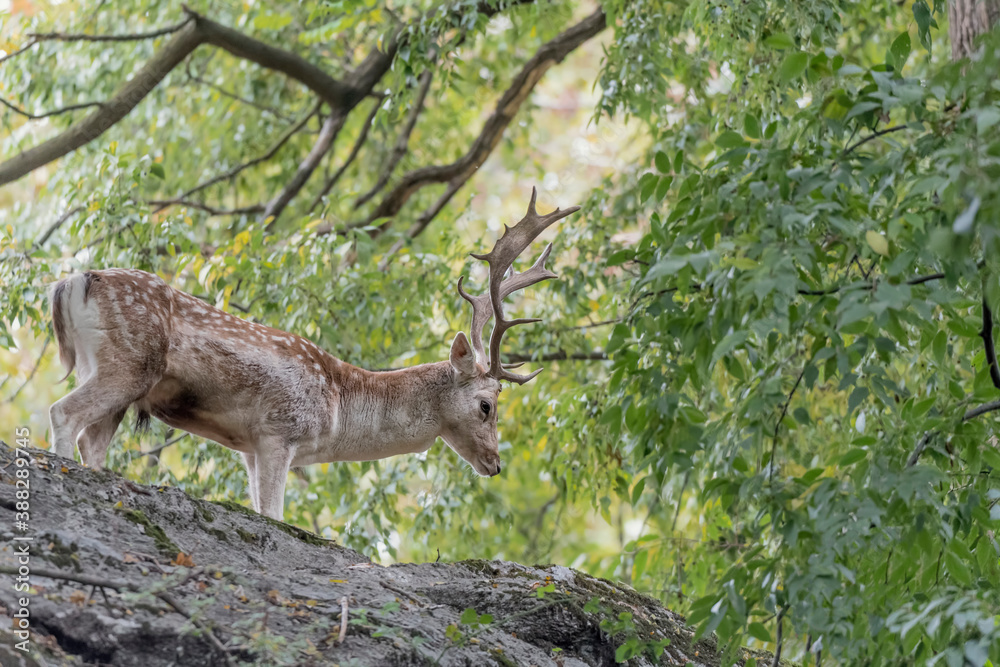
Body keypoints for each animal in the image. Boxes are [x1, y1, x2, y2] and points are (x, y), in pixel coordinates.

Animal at [47, 189, 579, 521]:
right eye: (487, 405)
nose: (495, 463)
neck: (339, 409)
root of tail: (72, 282)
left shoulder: (248, 447)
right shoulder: (278, 430)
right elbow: (278, 515)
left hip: (114, 379)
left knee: (92, 440)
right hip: (129, 363)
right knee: (61, 412)